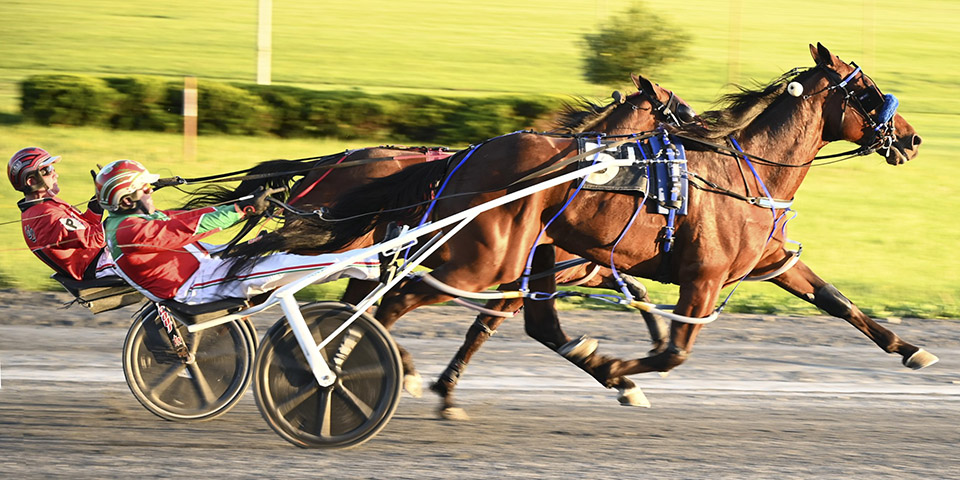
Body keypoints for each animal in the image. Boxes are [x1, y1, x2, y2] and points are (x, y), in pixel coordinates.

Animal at [181, 74, 694, 417]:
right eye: (678, 110)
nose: (699, 132)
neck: (576, 172)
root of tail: (330, 164)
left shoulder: (564, 267)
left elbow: (633, 294)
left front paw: (640, 358)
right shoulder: (523, 272)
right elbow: (492, 329)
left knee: (357, 304)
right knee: (339, 298)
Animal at [299, 43, 934, 408]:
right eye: (867, 90)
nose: (911, 138)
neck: (746, 171)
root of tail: (471, 155)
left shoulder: (772, 261)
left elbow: (837, 302)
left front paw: (910, 349)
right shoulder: (702, 278)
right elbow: (671, 352)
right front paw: (620, 371)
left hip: (526, 256)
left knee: (517, 321)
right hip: (482, 259)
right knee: (389, 300)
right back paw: (337, 370)